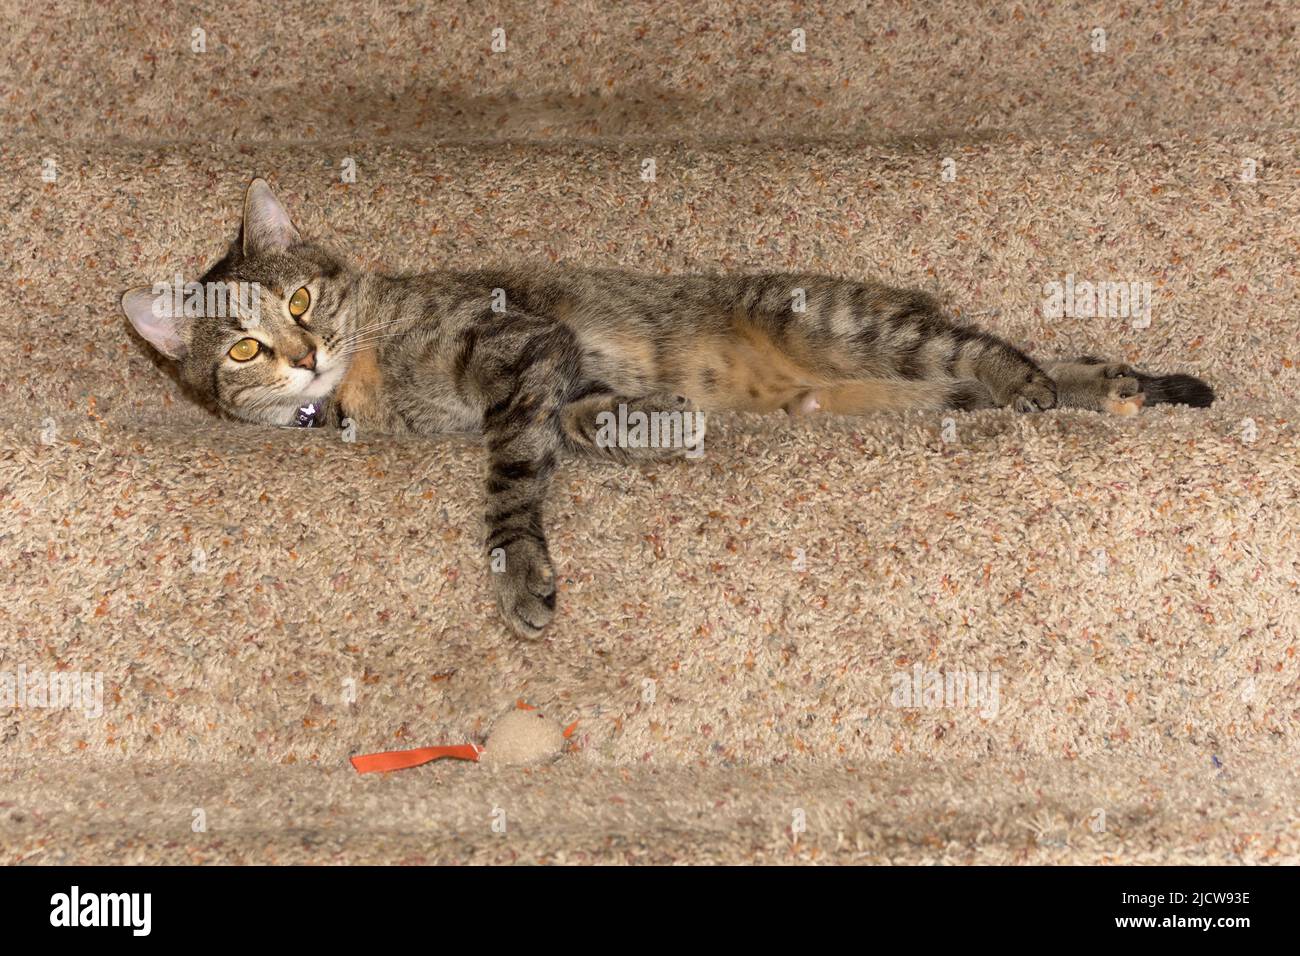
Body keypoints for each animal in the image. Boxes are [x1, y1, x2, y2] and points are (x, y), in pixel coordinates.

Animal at [122, 180, 1216, 642]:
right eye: (245, 348)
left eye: (303, 300)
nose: (304, 355)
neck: (367, 387)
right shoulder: (555, 371)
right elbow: (577, 421)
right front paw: (656, 425)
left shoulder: (521, 345)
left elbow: (508, 472)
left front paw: (517, 568)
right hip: (892, 376)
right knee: (1044, 366)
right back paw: (1128, 390)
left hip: (865, 330)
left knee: (1000, 351)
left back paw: (1051, 386)